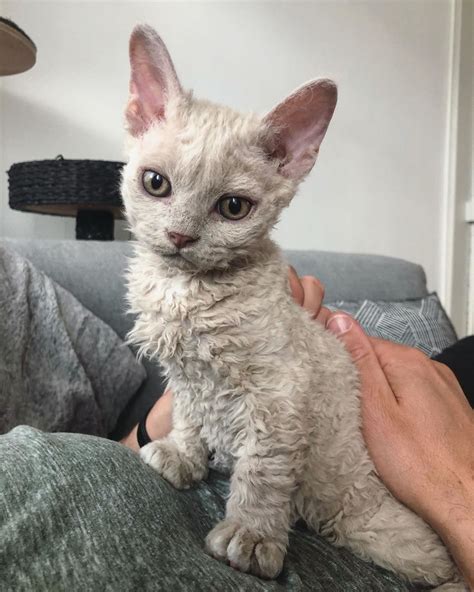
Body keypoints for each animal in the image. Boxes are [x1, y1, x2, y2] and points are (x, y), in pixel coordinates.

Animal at [120, 24, 464, 592]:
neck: (186, 293)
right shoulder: (186, 374)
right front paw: (183, 454)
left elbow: (262, 470)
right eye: (155, 183)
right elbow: (190, 413)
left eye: (233, 207)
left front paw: (252, 536)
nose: (180, 236)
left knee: (439, 565)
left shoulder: (279, 396)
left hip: (389, 528)